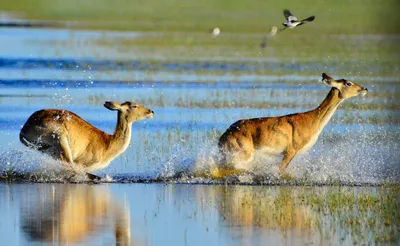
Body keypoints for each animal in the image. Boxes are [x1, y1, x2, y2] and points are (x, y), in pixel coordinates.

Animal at [19, 101, 155, 178]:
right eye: (134, 106)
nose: (151, 111)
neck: (108, 143)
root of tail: (26, 126)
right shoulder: (81, 163)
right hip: (61, 139)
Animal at [219, 72, 368, 175]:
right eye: (348, 83)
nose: (364, 89)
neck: (312, 119)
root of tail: (224, 135)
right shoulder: (290, 151)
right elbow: (279, 171)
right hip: (243, 154)